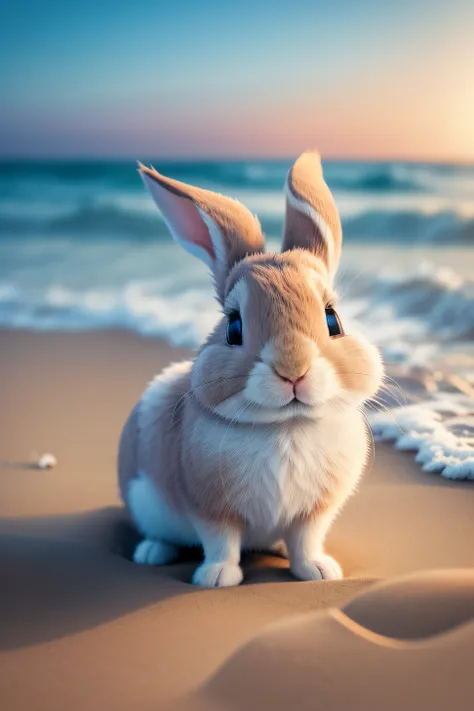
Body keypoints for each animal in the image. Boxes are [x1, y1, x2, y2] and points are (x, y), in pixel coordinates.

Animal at [117, 152, 382, 588]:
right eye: (234, 327)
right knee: (159, 533)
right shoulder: (210, 508)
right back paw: (152, 553)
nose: (293, 370)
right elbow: (221, 541)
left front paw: (318, 571)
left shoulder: (315, 513)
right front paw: (216, 578)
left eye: (333, 320)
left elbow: (306, 539)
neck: (286, 426)